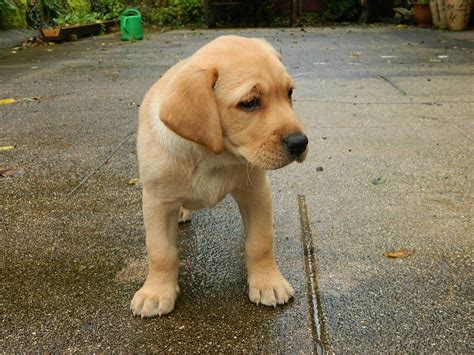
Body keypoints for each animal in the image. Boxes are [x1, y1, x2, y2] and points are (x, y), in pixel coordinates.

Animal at [131, 34, 308, 318]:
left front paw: (268, 283)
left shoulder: (256, 192)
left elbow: (260, 242)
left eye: (289, 93)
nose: (300, 143)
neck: (213, 157)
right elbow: (160, 251)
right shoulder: (156, 201)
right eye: (249, 103)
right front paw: (156, 293)